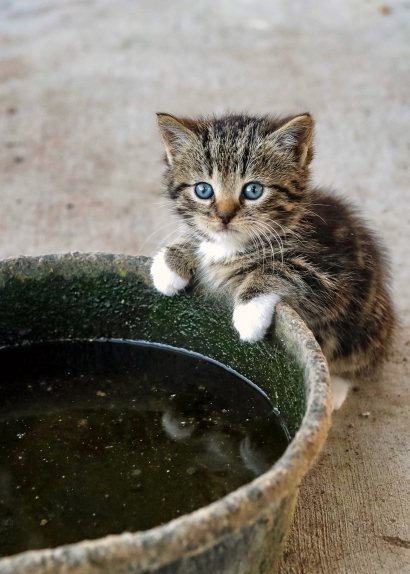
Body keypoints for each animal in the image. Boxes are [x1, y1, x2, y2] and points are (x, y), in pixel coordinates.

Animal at [150, 112, 394, 410]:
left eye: (253, 190)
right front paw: (170, 263)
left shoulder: (333, 279)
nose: (224, 216)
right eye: (203, 190)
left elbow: (282, 268)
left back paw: (333, 388)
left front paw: (249, 311)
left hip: (365, 322)